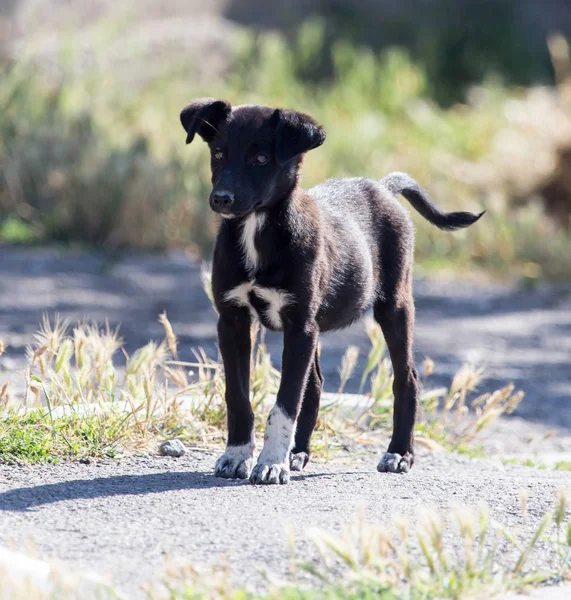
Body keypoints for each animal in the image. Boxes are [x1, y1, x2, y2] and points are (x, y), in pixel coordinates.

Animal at [181, 97, 484, 482]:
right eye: (218, 153)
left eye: (261, 158)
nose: (221, 199)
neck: (257, 231)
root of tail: (383, 187)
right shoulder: (234, 320)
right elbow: (239, 396)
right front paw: (237, 456)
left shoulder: (298, 324)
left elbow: (284, 403)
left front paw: (271, 463)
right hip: (316, 326)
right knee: (315, 384)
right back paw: (299, 452)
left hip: (394, 305)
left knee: (407, 379)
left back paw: (399, 453)